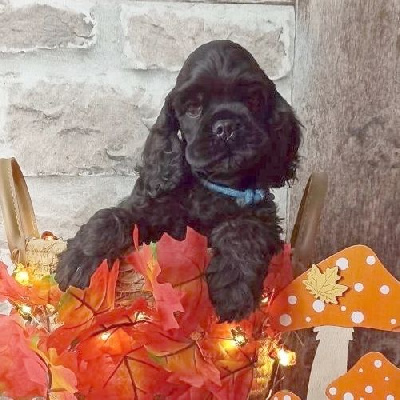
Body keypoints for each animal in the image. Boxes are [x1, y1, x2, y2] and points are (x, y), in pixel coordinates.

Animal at [55, 39, 300, 322]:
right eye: (193, 108)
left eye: (252, 100)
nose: (225, 127)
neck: (213, 187)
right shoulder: (151, 209)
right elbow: (111, 217)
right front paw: (78, 261)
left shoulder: (265, 220)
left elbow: (242, 230)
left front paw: (232, 290)